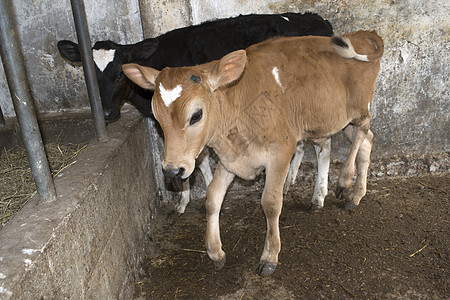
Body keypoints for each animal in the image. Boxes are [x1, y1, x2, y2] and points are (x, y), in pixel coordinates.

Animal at [122, 31, 384, 276]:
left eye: (196, 115)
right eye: (156, 117)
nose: (172, 170)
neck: (239, 105)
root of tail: (362, 35)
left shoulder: (281, 150)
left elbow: (270, 203)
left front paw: (269, 257)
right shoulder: (232, 158)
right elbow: (212, 197)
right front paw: (215, 251)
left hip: (358, 109)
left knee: (362, 132)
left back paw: (345, 180)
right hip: (335, 118)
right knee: (361, 143)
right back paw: (345, 196)